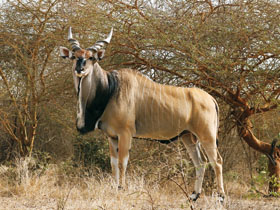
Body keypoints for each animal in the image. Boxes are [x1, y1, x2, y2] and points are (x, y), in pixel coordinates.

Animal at [59, 27, 225, 201]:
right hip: (188, 136)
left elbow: (122, 163)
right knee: (200, 163)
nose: (79, 69)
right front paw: (115, 188)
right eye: (74, 57)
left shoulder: (125, 134)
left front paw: (121, 189)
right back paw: (194, 195)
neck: (111, 87)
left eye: (91, 58)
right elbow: (113, 164)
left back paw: (220, 197)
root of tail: (211, 98)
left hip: (207, 136)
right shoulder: (112, 136)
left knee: (217, 161)